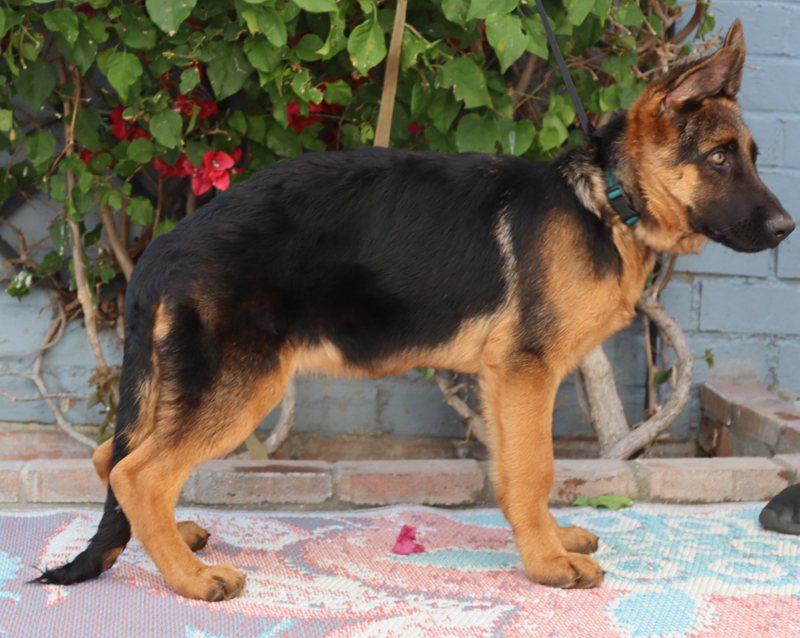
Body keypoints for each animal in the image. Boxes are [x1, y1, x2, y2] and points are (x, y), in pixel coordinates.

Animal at [38, 20, 793, 600]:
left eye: (753, 155)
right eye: (720, 158)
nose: (787, 229)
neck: (605, 199)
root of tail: (166, 246)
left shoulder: (504, 382)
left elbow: (518, 474)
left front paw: (548, 541)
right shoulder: (526, 375)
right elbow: (537, 469)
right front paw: (549, 565)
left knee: (113, 455)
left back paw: (174, 540)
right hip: (242, 386)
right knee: (138, 471)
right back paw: (191, 579)